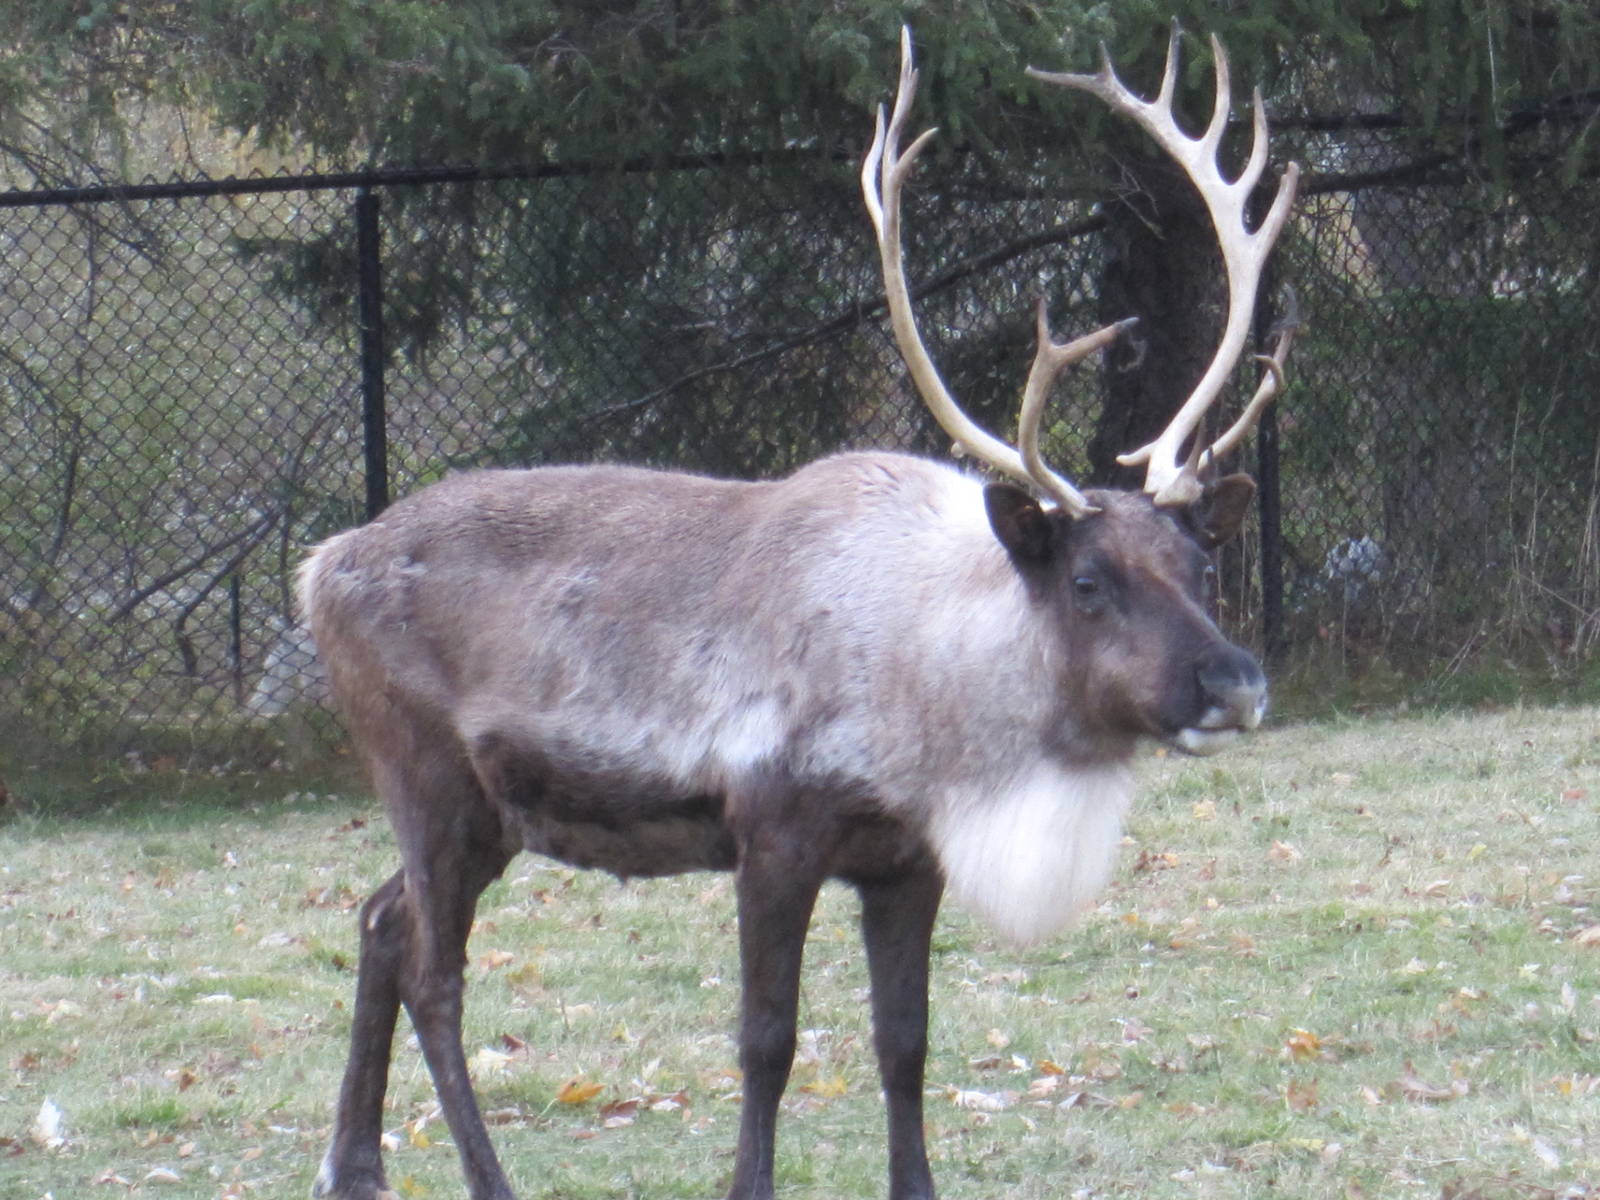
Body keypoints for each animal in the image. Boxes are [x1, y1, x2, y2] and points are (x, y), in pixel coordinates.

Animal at [301, 24, 1300, 1200]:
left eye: (1201, 565)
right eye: (1089, 581)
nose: (1233, 682)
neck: (940, 695)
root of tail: (319, 565)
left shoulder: (906, 860)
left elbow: (904, 1043)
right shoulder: (773, 828)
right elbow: (766, 1041)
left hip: (491, 814)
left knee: (378, 920)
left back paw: (353, 1164)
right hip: (427, 778)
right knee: (434, 973)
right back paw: (480, 1178)